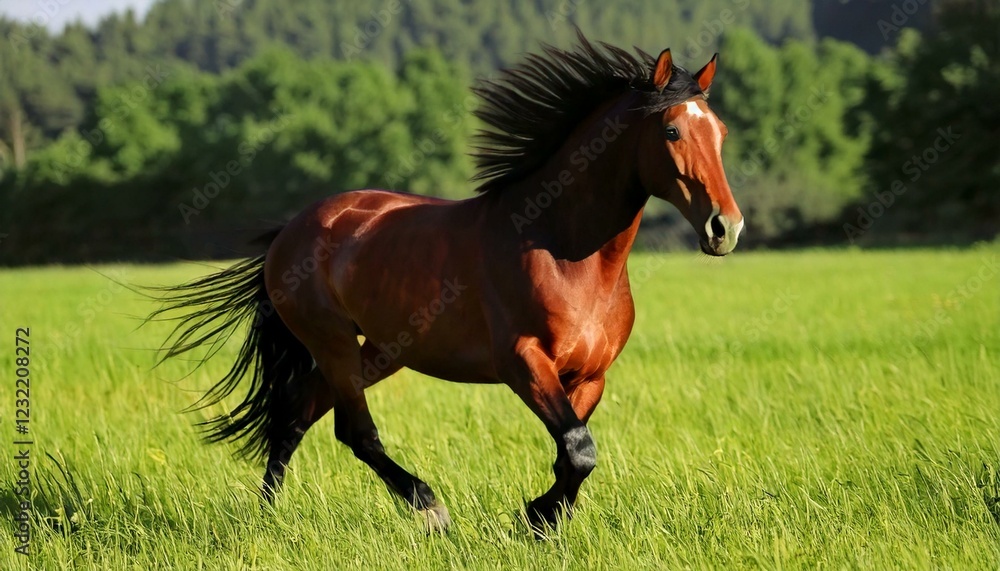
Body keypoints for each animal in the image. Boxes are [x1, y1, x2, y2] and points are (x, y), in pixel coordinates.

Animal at [152, 34, 743, 535]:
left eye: (721, 133)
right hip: (333, 340)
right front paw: (532, 518)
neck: (562, 251)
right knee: (353, 430)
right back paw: (429, 507)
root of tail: (291, 230)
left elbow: (571, 454)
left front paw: (541, 519)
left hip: (382, 348)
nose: (726, 228)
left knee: (300, 409)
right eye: (671, 130)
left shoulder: (589, 376)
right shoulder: (523, 362)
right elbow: (579, 449)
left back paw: (267, 512)